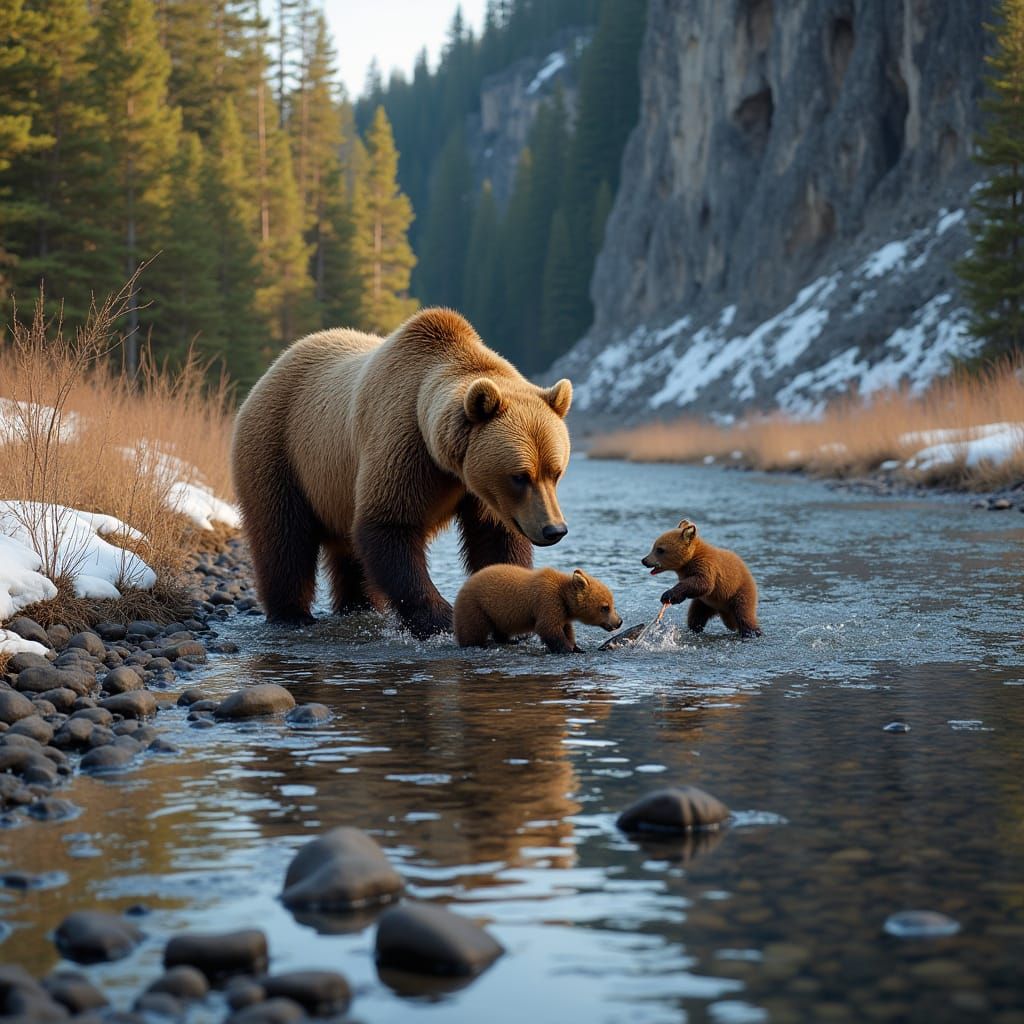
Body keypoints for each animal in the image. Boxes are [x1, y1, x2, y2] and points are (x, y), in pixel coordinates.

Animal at [231, 308, 573, 638]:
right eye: (520, 476)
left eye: (555, 472)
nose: (554, 529)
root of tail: (275, 366)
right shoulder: (403, 444)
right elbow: (389, 525)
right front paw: (439, 620)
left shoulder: (480, 491)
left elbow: (495, 537)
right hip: (281, 450)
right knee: (283, 536)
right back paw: (291, 614)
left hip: (336, 488)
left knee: (347, 552)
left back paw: (359, 606)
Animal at [453, 565, 623, 653]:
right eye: (605, 607)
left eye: (612, 603)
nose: (619, 621)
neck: (563, 595)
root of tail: (464, 585)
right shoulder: (547, 601)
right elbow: (548, 627)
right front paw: (568, 649)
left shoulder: (562, 611)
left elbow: (566, 628)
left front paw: (576, 646)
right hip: (475, 605)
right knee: (473, 629)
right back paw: (481, 644)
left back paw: (509, 641)